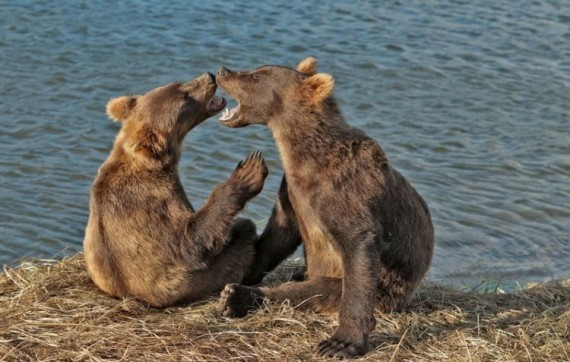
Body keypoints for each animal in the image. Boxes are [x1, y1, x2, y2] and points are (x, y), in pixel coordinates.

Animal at [83, 73, 268, 308]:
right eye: (185, 99)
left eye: (177, 84)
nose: (209, 77)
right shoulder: (157, 200)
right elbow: (190, 243)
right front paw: (248, 171)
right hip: (206, 277)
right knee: (243, 233)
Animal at [215, 58, 432, 358]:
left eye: (257, 75)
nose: (223, 70)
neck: (304, 157)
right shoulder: (293, 192)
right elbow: (279, 233)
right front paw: (242, 271)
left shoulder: (344, 192)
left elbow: (358, 244)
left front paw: (342, 342)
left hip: (390, 289)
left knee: (319, 290)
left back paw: (238, 297)